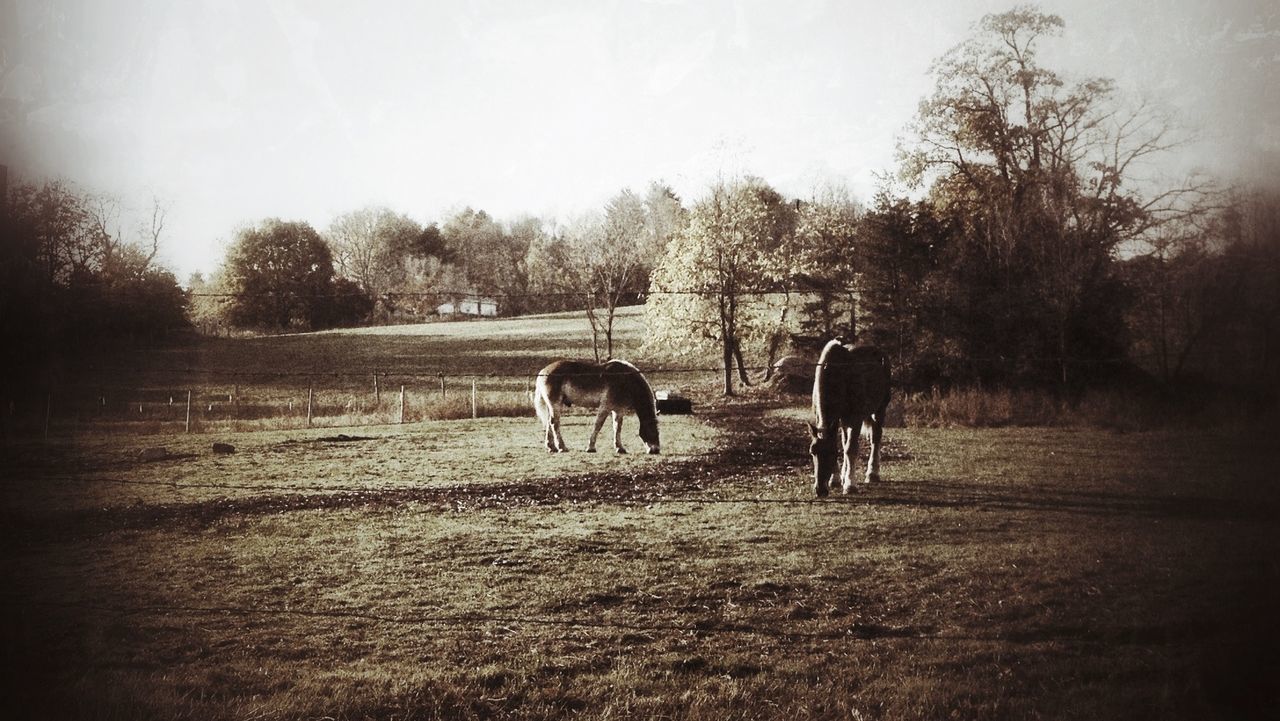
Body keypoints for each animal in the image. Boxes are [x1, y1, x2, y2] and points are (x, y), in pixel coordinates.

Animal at [529, 358, 660, 453]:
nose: (656, 450)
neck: (625, 379)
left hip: (551, 405)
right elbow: (598, 425)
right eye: (653, 430)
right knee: (554, 423)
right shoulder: (605, 407)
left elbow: (617, 427)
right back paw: (562, 447)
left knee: (548, 423)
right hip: (555, 404)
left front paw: (620, 448)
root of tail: (543, 371)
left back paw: (551, 447)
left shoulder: (618, 410)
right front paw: (591, 447)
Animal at [808, 338, 890, 496]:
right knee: (846, 440)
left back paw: (872, 473)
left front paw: (850, 485)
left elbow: (850, 449)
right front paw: (835, 479)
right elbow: (843, 445)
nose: (820, 490)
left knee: (875, 438)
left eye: (832, 453)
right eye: (812, 451)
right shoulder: (836, 419)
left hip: (879, 409)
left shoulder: (854, 419)